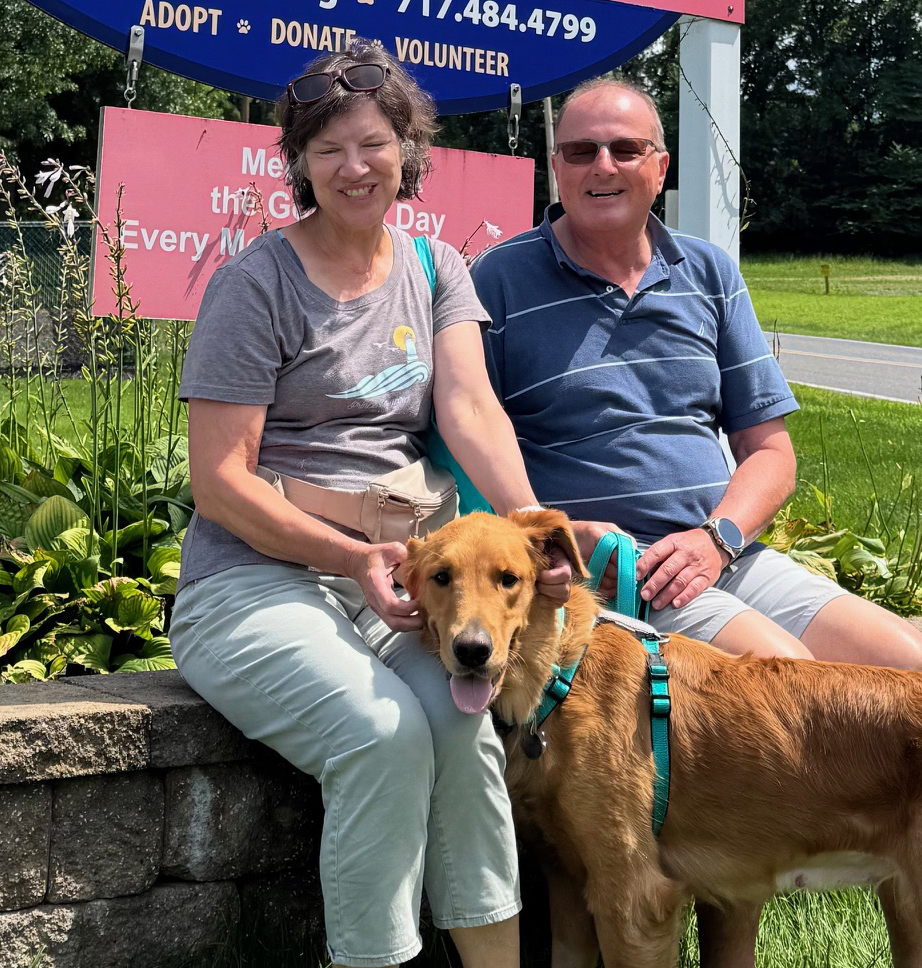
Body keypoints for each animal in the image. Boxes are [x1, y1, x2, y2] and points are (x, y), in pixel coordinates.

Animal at [405, 509, 922, 968]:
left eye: (509, 579)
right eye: (440, 577)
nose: (472, 651)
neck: (560, 678)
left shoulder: (633, 899)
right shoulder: (567, 881)